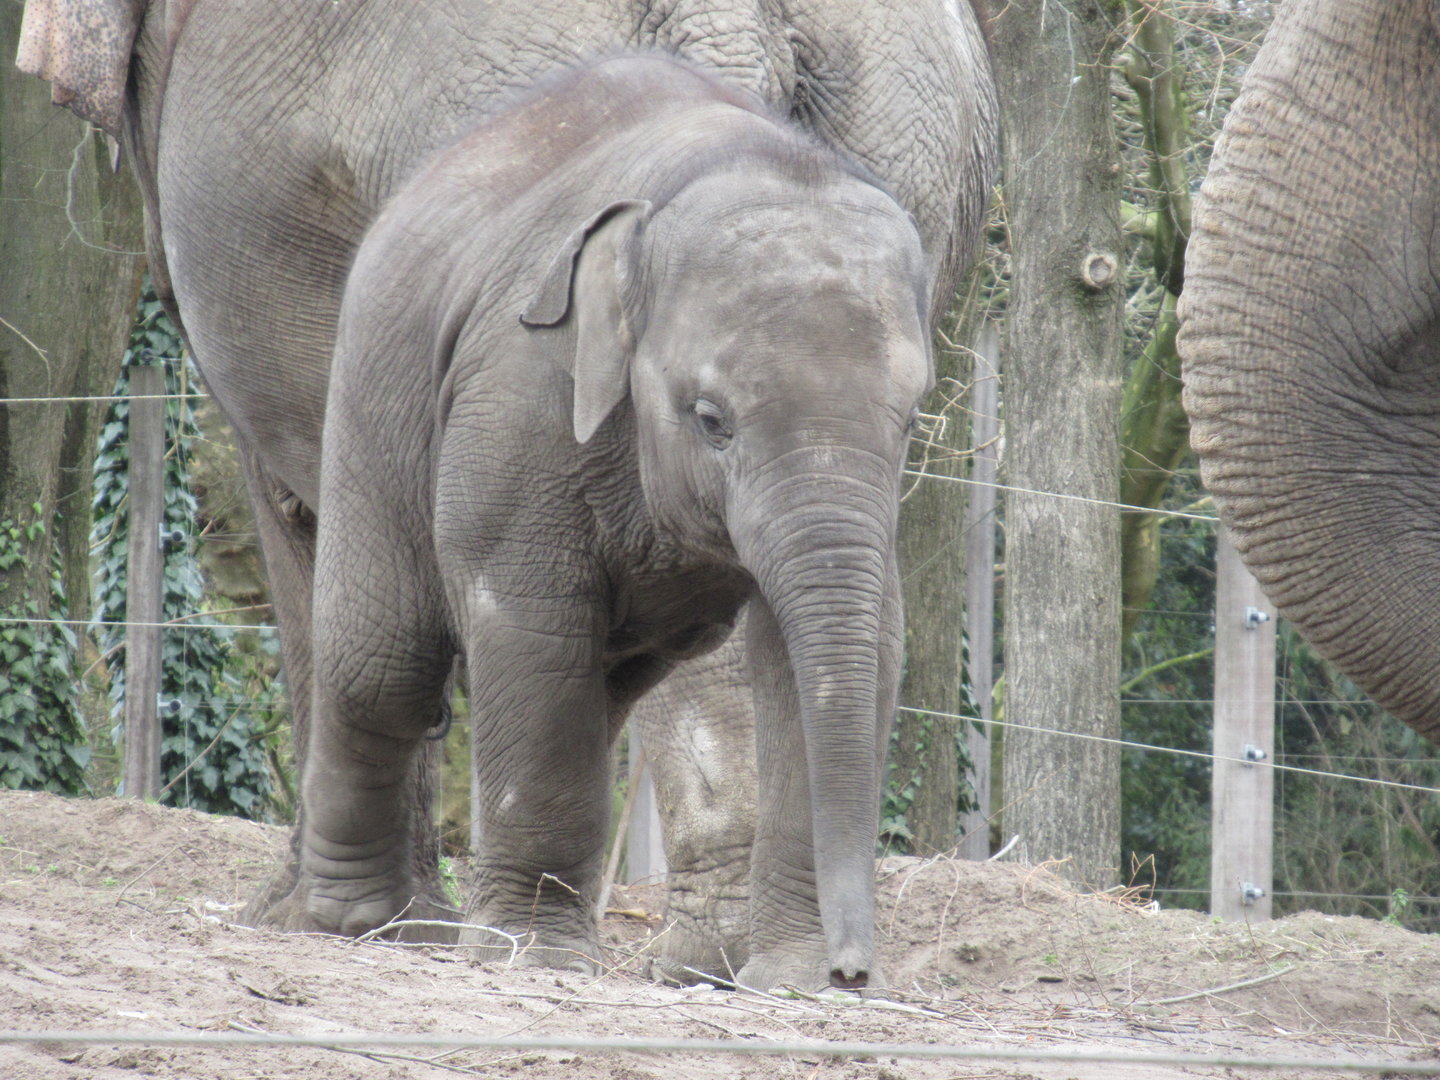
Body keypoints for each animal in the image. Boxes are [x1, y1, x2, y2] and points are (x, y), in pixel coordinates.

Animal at [16, 0, 996, 988]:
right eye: (710, 420)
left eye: (912, 418)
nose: (854, 971)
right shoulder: (523, 378)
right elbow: (527, 612)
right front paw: (531, 953)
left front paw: (786, 981)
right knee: (402, 664)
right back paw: (382, 922)